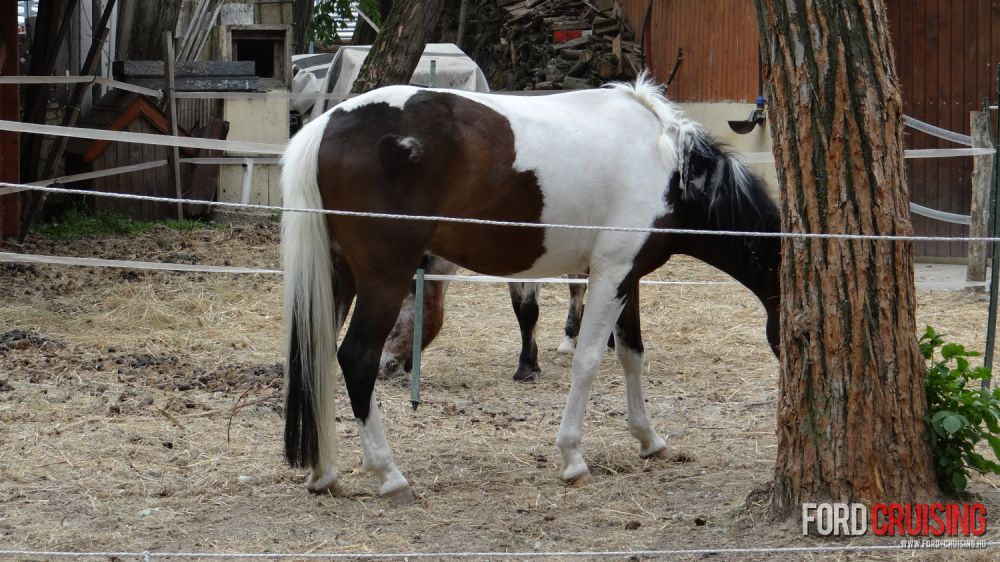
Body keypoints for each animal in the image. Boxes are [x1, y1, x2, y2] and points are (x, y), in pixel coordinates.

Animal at [280, 73, 780, 498]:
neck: (668, 167)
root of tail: (326, 124)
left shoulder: (627, 276)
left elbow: (632, 355)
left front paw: (649, 439)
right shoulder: (611, 274)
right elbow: (588, 360)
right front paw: (573, 457)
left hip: (339, 276)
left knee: (316, 356)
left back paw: (323, 473)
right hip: (384, 277)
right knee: (355, 358)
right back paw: (389, 474)